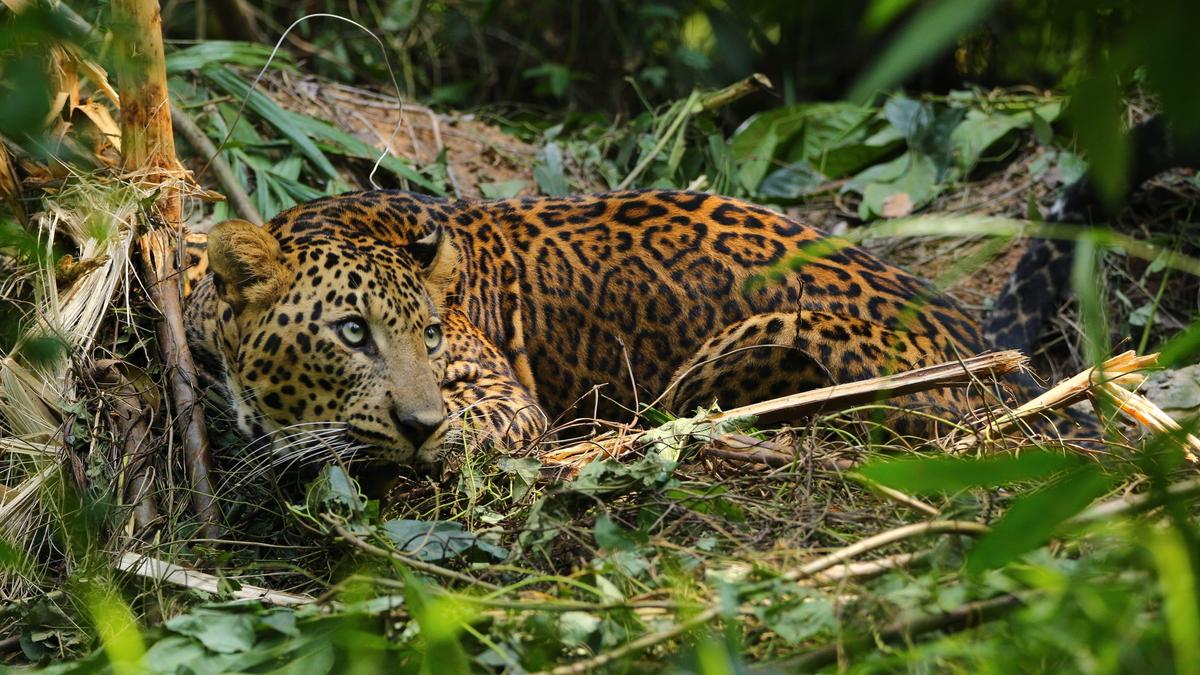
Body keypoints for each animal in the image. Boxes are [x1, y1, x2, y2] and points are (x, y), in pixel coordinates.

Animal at [184, 189, 1036, 467]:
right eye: (352, 332)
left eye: (428, 334)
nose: (418, 423)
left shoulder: (502, 397)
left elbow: (464, 429)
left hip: (763, 338)